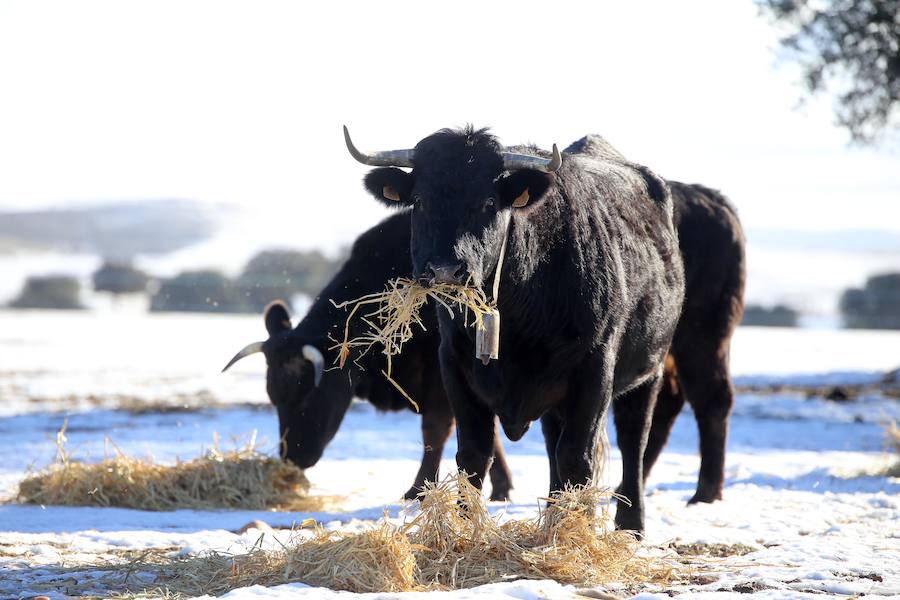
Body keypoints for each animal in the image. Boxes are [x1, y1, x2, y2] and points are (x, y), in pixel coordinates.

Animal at [222, 211, 510, 502]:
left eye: (310, 393)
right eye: (273, 397)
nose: (292, 458)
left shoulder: (440, 373)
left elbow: (436, 429)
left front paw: (418, 490)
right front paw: (500, 488)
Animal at [348, 125, 684, 528]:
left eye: (490, 203)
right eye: (420, 201)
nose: (445, 270)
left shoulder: (595, 367)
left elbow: (578, 457)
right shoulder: (455, 365)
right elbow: (473, 454)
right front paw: (468, 528)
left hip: (649, 371)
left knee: (634, 442)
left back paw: (630, 525)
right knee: (554, 445)